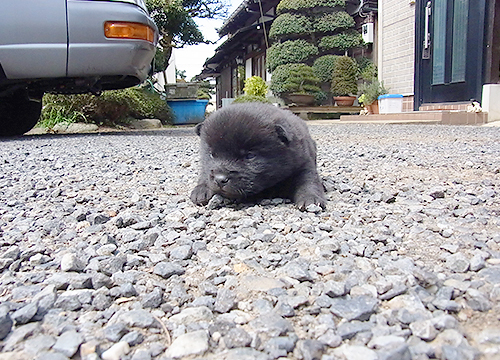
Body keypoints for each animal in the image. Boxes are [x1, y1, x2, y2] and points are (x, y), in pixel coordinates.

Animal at [189, 102, 326, 210]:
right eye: (212, 155)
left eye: (250, 156)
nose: (219, 179)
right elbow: (205, 173)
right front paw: (201, 190)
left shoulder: (304, 164)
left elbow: (308, 181)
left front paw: (310, 199)